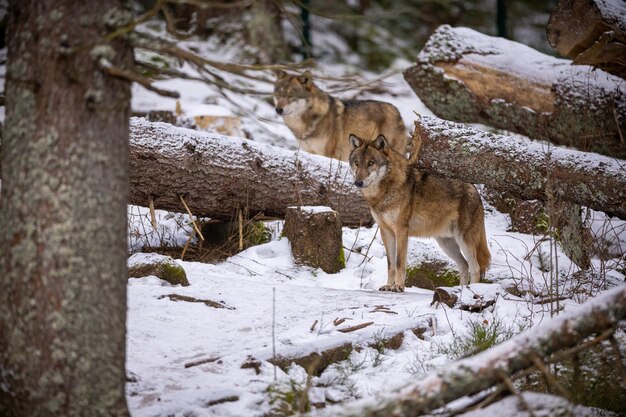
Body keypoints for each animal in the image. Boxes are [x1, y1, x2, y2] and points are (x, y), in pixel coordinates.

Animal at [272, 70, 404, 161]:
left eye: (291, 96)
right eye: (278, 94)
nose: (278, 110)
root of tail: (397, 110)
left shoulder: (329, 155)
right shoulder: (310, 152)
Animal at [346, 132, 488, 290]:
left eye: (371, 163)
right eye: (357, 163)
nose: (358, 182)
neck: (384, 192)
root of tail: (475, 189)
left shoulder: (401, 231)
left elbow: (399, 263)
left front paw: (398, 287)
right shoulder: (386, 232)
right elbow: (390, 265)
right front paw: (388, 286)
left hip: (464, 240)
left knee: (475, 268)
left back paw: (472, 290)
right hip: (446, 243)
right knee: (464, 266)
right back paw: (461, 290)